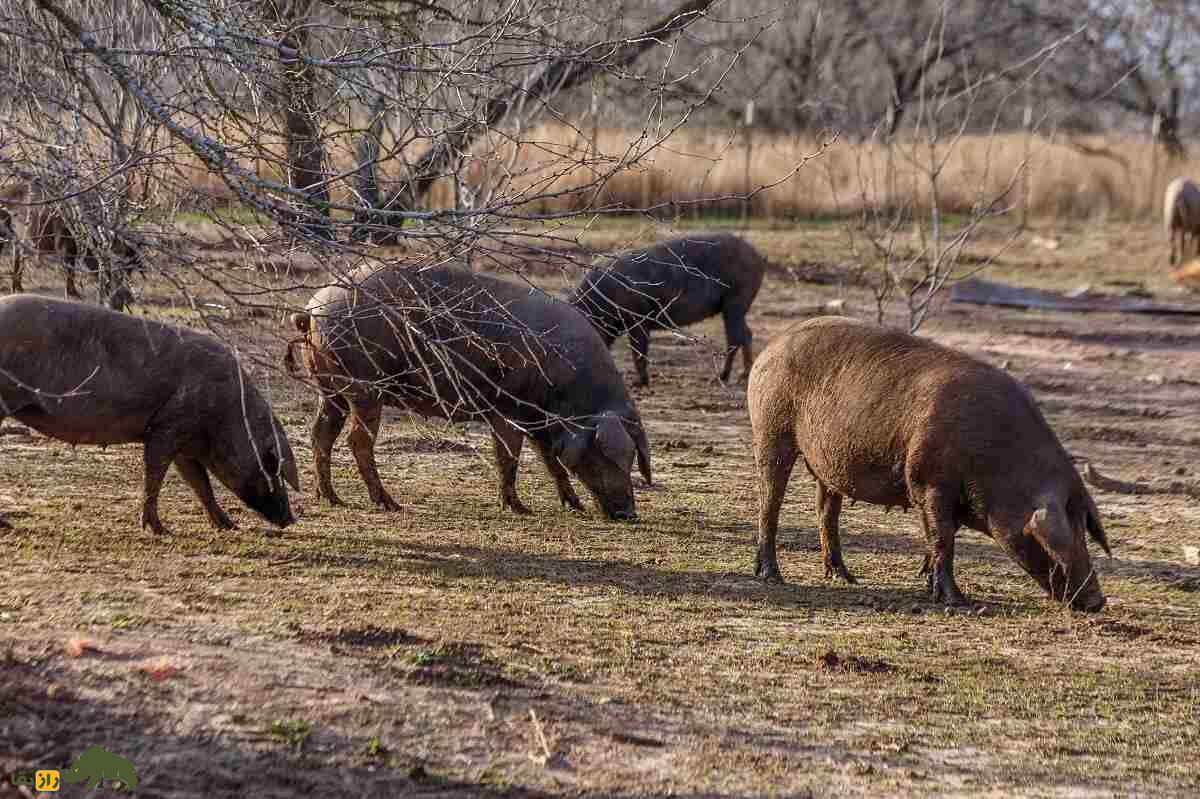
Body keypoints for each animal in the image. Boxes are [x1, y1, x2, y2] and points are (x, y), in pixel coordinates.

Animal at [0, 295, 298, 532]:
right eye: (271, 465)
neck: (227, 414)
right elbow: (155, 476)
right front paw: (159, 530)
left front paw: (229, 526)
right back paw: (7, 524)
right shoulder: (165, 428)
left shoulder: (184, 441)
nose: (291, 520)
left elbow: (200, 484)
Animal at [286, 263, 652, 520]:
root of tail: (311, 311)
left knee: (320, 435)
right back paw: (389, 504)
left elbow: (552, 463)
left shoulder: (539, 426)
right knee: (356, 441)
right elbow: (508, 458)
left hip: (329, 390)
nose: (629, 515)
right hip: (365, 388)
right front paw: (519, 508)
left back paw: (331, 498)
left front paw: (575, 506)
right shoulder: (506, 411)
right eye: (602, 454)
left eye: (631, 457)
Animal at [566, 231, 763, 383]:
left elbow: (638, 350)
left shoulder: (637, 317)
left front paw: (639, 383)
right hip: (737, 306)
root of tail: (757, 256)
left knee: (735, 338)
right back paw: (743, 376)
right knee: (747, 334)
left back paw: (719, 378)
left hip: (735, 300)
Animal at [744, 316, 1108, 609]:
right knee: (769, 502)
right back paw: (772, 575)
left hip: (827, 463)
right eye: (1061, 537)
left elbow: (936, 536)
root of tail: (773, 345)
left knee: (825, 511)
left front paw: (929, 584)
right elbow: (943, 538)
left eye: (1083, 528)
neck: (1000, 466)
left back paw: (844, 577)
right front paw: (956, 600)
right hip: (770, 430)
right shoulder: (931, 481)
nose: (1097, 601)